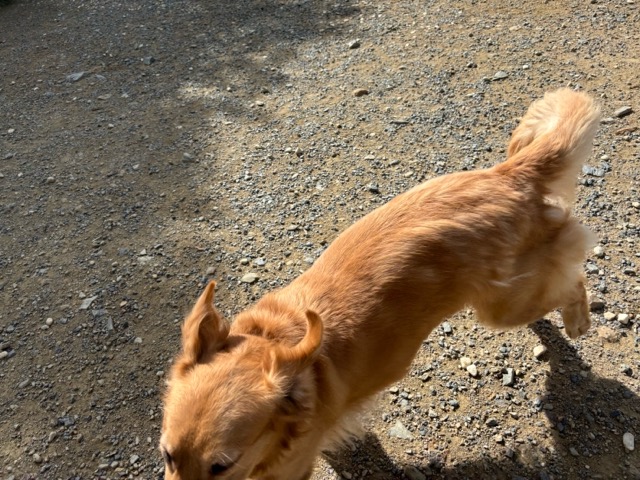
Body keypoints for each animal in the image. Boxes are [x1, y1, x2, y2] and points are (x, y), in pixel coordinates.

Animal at [160, 88, 600, 480]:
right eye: (167, 454)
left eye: (221, 465)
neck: (275, 340)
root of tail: (507, 174)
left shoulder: (291, 469)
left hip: (501, 308)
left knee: (573, 280)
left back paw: (578, 320)